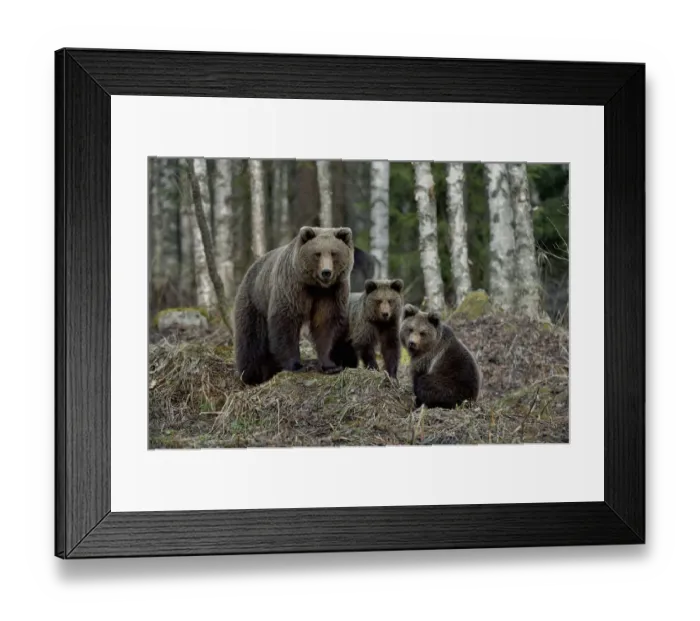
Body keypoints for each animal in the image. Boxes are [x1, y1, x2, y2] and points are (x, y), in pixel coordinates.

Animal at [233, 226, 354, 386]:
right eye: (317, 254)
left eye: (334, 253)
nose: (326, 272)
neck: (316, 286)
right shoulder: (292, 287)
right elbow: (286, 322)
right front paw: (296, 365)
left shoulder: (331, 293)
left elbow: (326, 325)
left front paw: (330, 365)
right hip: (254, 301)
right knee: (251, 338)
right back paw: (251, 375)